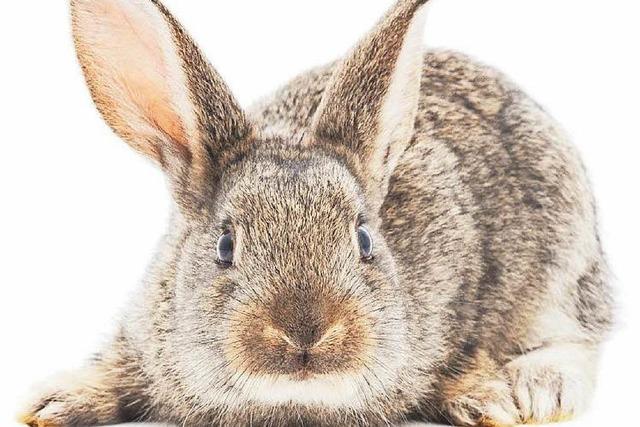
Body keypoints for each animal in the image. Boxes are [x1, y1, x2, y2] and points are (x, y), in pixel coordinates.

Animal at [20, 0, 612, 426]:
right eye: (225, 247)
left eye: (364, 241)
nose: (305, 332)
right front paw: (53, 402)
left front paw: (486, 400)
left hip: (565, 261)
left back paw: (540, 389)